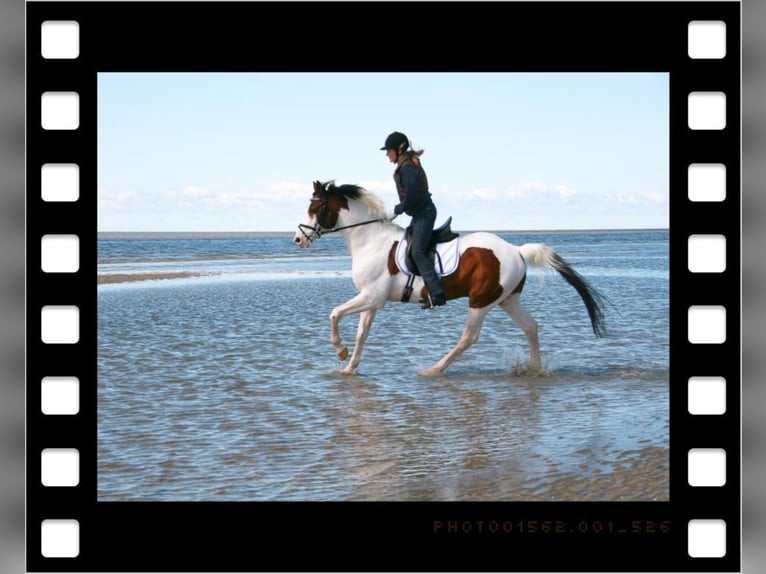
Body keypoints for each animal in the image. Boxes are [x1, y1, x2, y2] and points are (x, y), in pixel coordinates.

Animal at [293, 180, 607, 377]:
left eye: (314, 208)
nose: (298, 239)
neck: (369, 240)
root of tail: (517, 250)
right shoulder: (371, 300)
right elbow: (361, 334)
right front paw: (349, 366)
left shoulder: (372, 297)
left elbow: (334, 313)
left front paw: (340, 351)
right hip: (507, 299)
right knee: (530, 327)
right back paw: (535, 369)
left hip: (481, 301)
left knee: (469, 337)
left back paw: (434, 369)